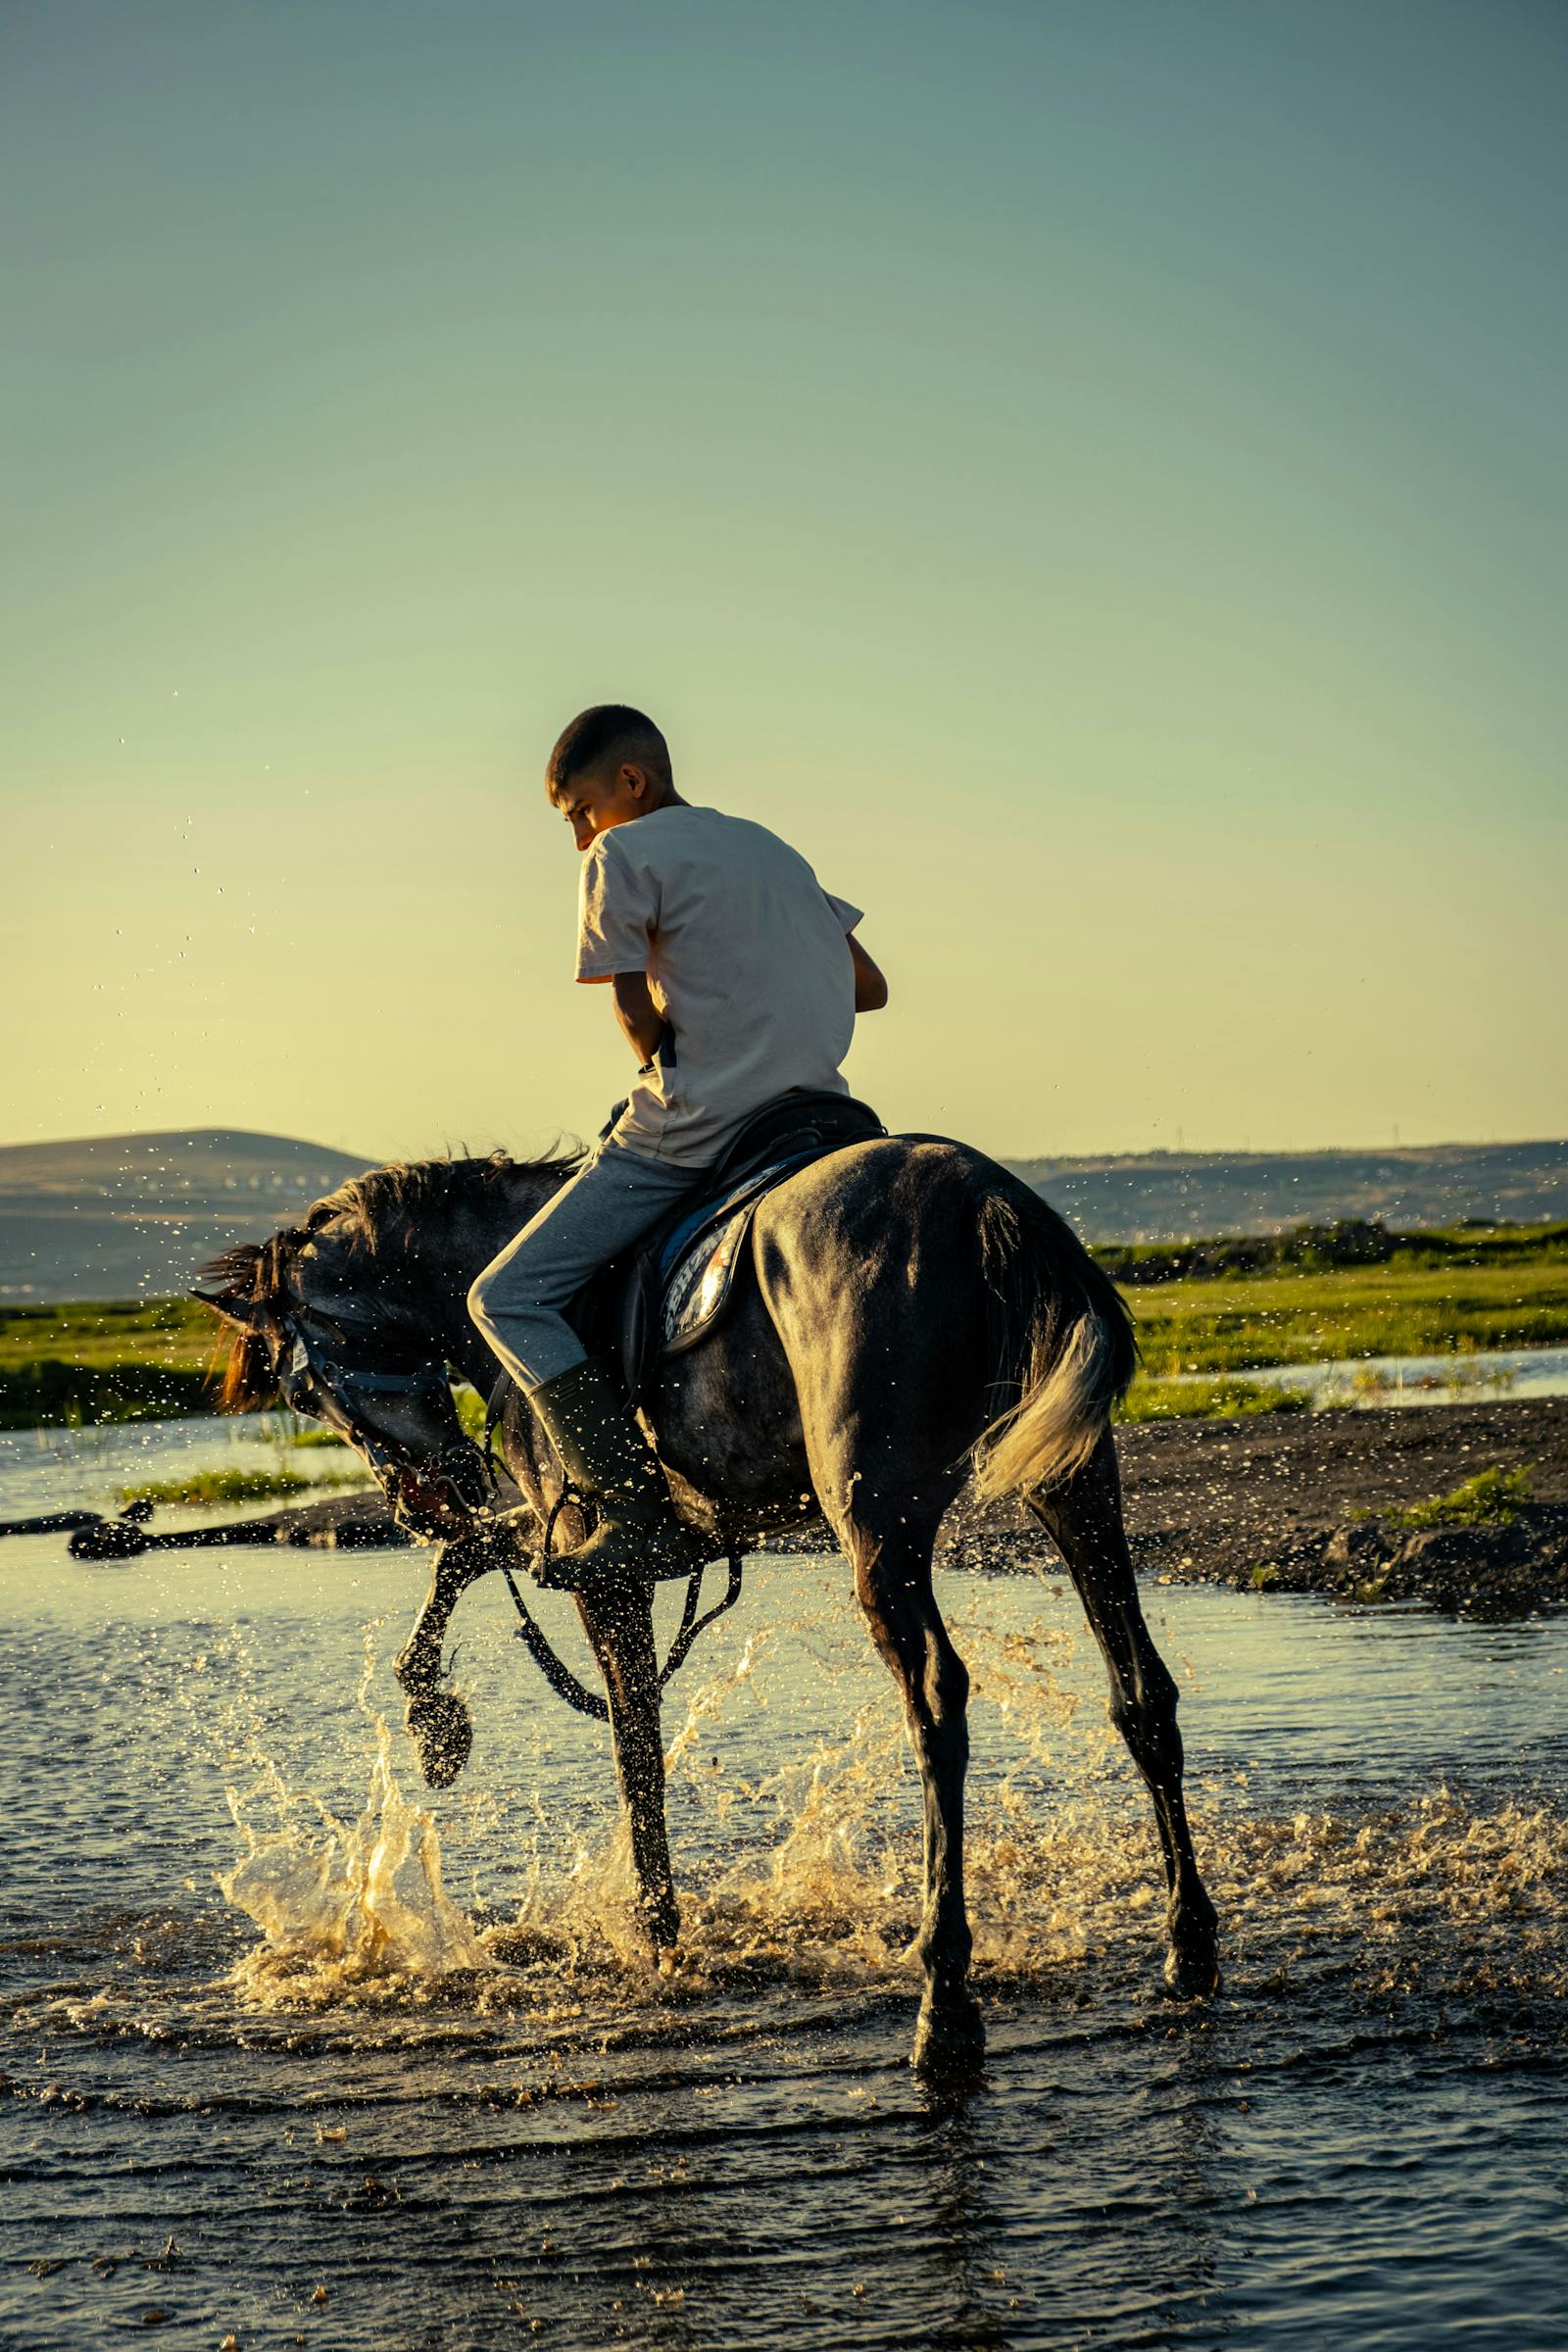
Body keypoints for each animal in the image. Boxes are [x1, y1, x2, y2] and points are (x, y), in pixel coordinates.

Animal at [197, 1133, 1220, 2071]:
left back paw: (944, 1999)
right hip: (1074, 1484)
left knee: (936, 1703)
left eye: (301, 1388)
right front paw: (436, 1724)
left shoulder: (601, 1565)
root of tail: (982, 1199)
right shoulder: (579, 1538)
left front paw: (659, 1938)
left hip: (877, 1522)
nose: (420, 1499)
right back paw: (1188, 1947)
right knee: (1141, 1691)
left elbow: (635, 1753)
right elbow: (467, 1557)